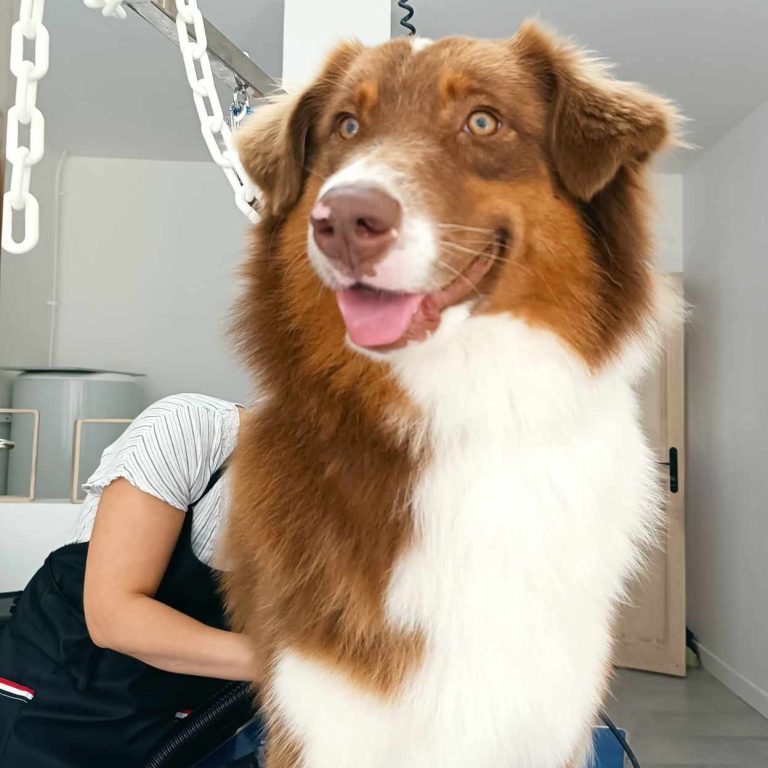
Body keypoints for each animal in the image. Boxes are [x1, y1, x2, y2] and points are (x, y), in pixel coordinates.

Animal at [225, 22, 680, 768]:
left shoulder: (550, 717)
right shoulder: (320, 710)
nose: (342, 220)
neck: (461, 405)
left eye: (483, 121)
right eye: (346, 125)